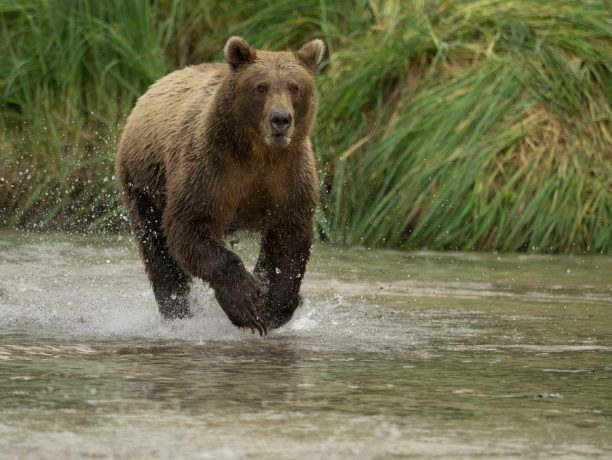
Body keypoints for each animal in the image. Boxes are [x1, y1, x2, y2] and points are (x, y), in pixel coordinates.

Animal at [116, 36, 326, 334]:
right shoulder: (212, 170)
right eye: (261, 86)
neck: (257, 153)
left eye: (295, 87)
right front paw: (247, 304)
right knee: (158, 253)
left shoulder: (289, 178)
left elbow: (289, 240)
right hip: (144, 185)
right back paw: (176, 312)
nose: (281, 119)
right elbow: (188, 227)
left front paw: (274, 306)